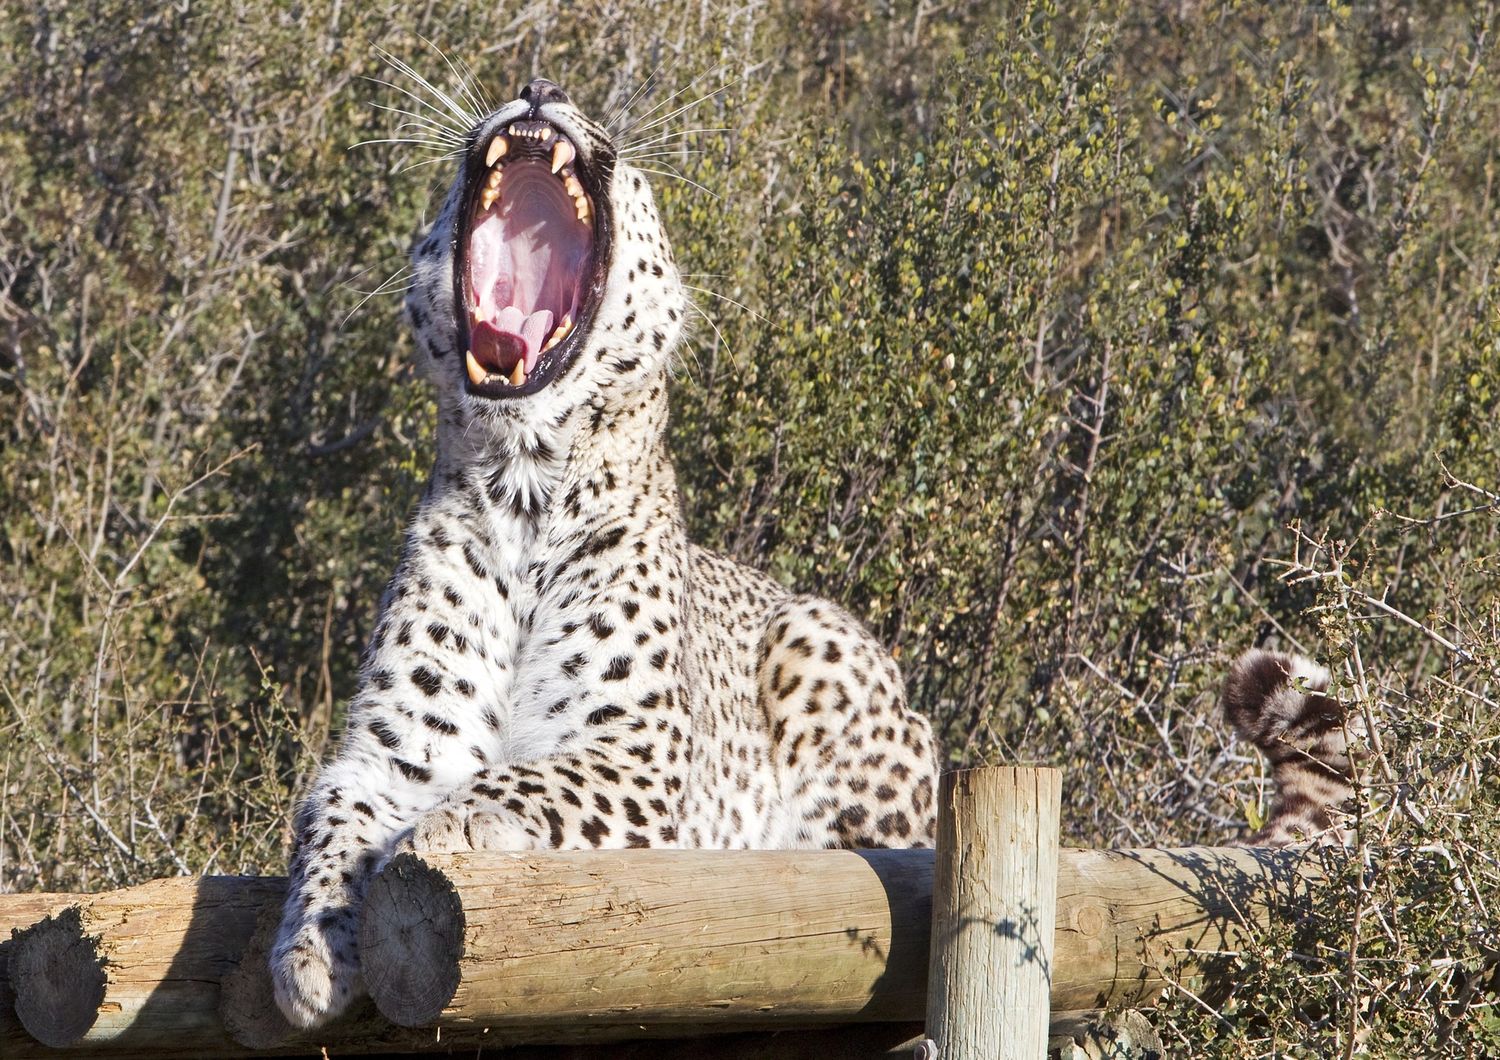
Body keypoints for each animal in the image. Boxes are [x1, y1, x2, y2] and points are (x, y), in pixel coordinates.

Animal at [264, 80, 930, 1025]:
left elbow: (525, 779)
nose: (541, 88)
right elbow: (328, 823)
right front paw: (309, 949)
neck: (523, 492)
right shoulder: (389, 753)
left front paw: (437, 828)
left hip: (819, 652)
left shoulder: (638, 752)